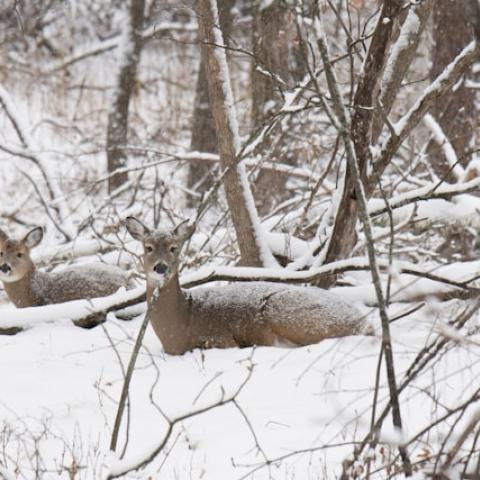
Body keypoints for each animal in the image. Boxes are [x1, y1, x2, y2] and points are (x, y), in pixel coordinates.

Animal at [124, 216, 372, 354]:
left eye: (174, 248)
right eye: (148, 247)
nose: (160, 268)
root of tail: (363, 322)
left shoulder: (219, 338)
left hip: (283, 310)